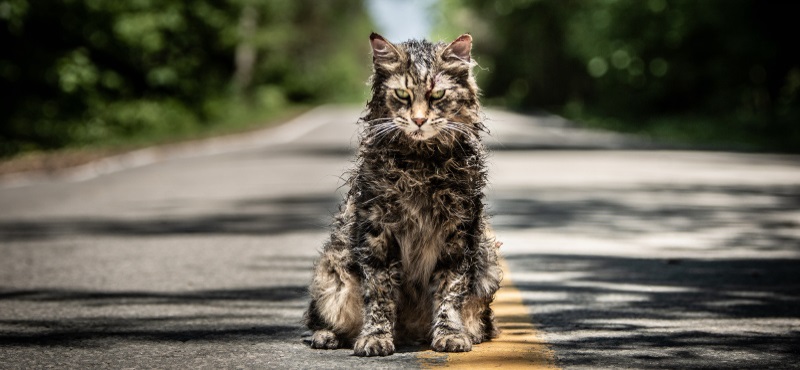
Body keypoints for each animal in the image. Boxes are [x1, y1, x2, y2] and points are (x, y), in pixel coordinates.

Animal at [304, 33, 500, 356]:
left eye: (437, 96)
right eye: (402, 94)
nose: (419, 120)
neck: (420, 165)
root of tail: (410, 334)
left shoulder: (458, 234)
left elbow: (449, 291)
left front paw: (450, 334)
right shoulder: (377, 233)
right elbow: (380, 294)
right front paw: (375, 337)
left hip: (488, 266)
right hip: (331, 272)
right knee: (322, 319)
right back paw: (328, 336)